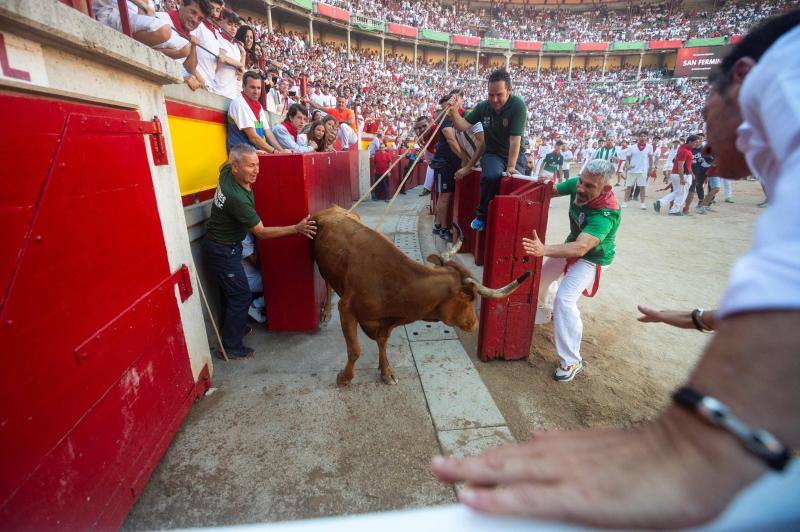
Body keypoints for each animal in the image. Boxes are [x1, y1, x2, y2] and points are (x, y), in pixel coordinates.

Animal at [312, 206, 532, 384]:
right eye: (470, 299)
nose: (474, 323)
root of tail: (333, 209)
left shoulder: (384, 323)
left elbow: (382, 343)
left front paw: (386, 371)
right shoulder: (346, 310)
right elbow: (355, 350)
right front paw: (345, 377)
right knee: (327, 284)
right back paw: (325, 313)